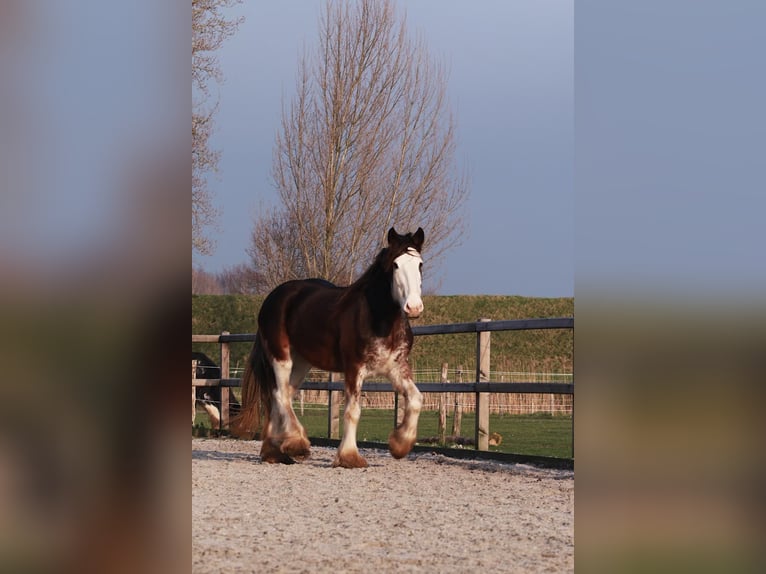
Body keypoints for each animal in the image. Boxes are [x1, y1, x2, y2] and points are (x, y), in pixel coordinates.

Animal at [234, 225, 426, 468]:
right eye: (396, 264)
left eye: (420, 264)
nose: (414, 307)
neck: (379, 320)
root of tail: (274, 298)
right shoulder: (354, 369)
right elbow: (353, 411)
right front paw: (349, 456)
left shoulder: (396, 369)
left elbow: (416, 399)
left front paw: (400, 444)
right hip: (281, 358)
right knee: (279, 395)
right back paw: (297, 444)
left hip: (301, 363)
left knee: (282, 396)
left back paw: (275, 451)